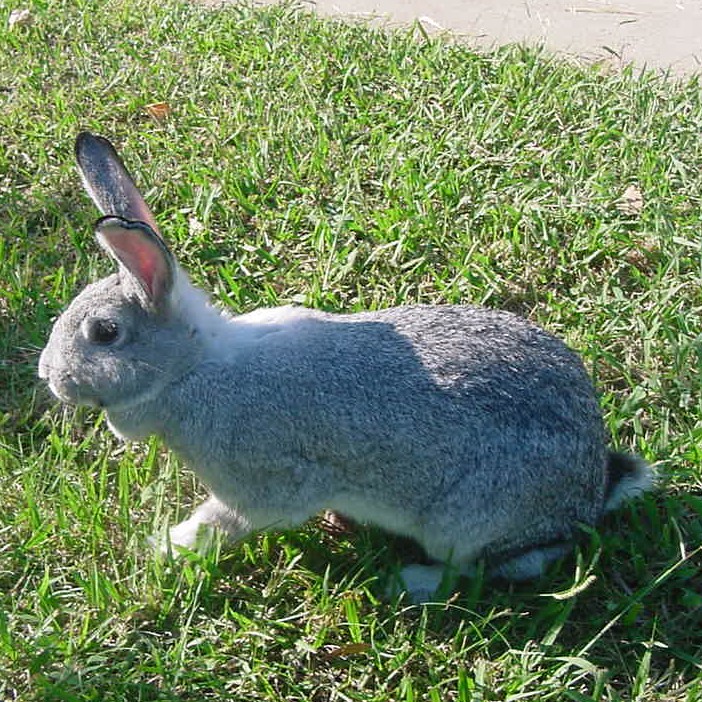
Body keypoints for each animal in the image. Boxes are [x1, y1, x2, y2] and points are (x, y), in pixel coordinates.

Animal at [39, 132, 653, 601]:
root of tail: (589, 490)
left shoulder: (265, 486)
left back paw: (413, 580)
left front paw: (169, 546)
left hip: (466, 520)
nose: (47, 373)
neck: (193, 367)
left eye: (105, 333)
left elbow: (224, 521)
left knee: (494, 564)